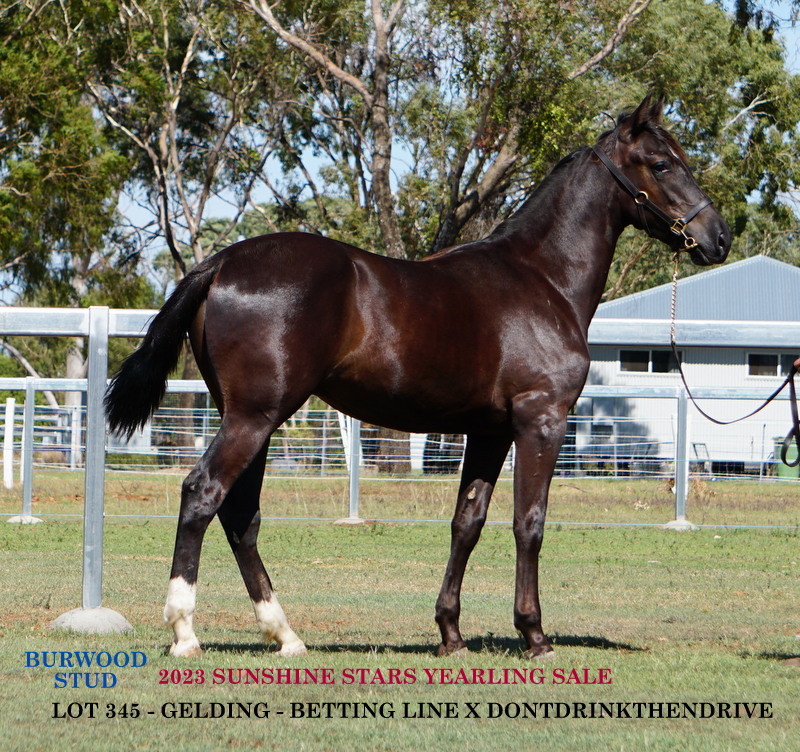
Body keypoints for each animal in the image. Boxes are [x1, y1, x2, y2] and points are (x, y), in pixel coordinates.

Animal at [105, 95, 730, 659]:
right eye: (663, 163)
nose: (718, 237)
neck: (541, 278)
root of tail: (220, 263)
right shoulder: (541, 421)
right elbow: (529, 522)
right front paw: (534, 635)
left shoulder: (489, 432)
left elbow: (467, 522)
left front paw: (450, 633)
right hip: (255, 417)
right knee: (203, 494)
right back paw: (185, 632)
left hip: (249, 417)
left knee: (239, 514)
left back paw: (285, 635)